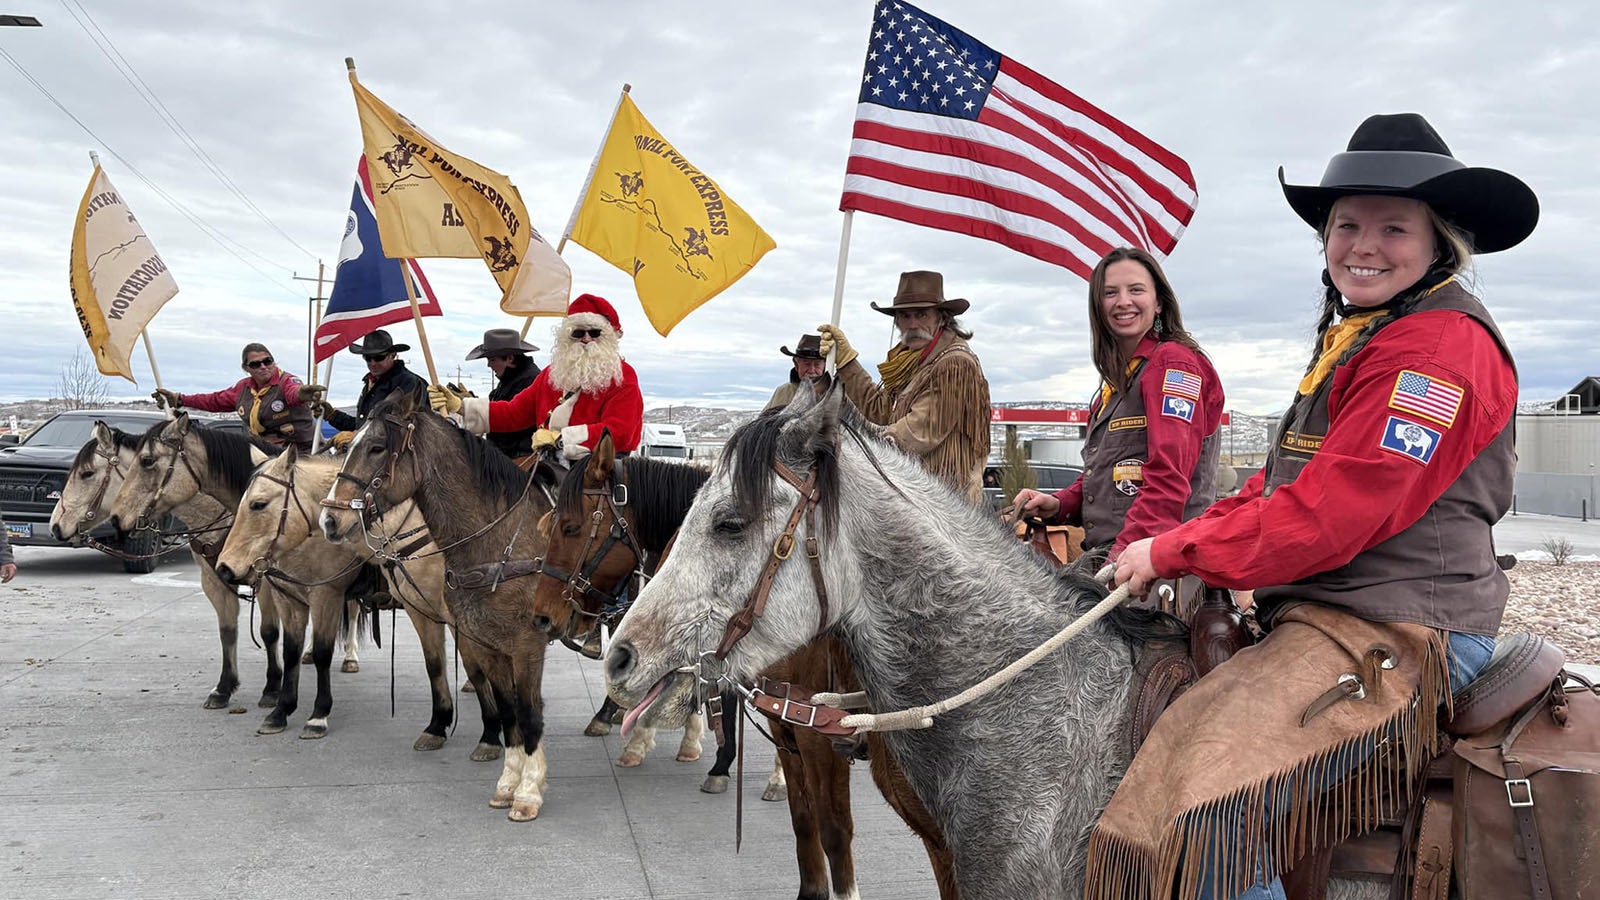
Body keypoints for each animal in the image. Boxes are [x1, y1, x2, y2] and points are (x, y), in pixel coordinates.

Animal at [49, 419, 288, 707]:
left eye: (87, 473)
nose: (55, 525)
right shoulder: (213, 579)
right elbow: (227, 630)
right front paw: (224, 687)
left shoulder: (266, 581)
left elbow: (269, 631)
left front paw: (273, 687)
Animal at [212, 445, 499, 755]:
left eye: (258, 504)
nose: (224, 568)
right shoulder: (289, 599)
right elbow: (290, 653)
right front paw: (281, 711)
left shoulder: (327, 596)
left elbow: (323, 653)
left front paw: (317, 716)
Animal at [318, 392, 563, 819]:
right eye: (348, 447)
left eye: (377, 447)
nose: (330, 520)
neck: (502, 540)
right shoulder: (481, 638)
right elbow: (507, 707)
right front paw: (507, 781)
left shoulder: (525, 645)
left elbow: (528, 711)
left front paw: (528, 790)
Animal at [537, 429, 953, 896]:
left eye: (570, 527)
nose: (542, 615)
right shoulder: (785, 723)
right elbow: (804, 822)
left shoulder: (819, 737)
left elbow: (834, 832)